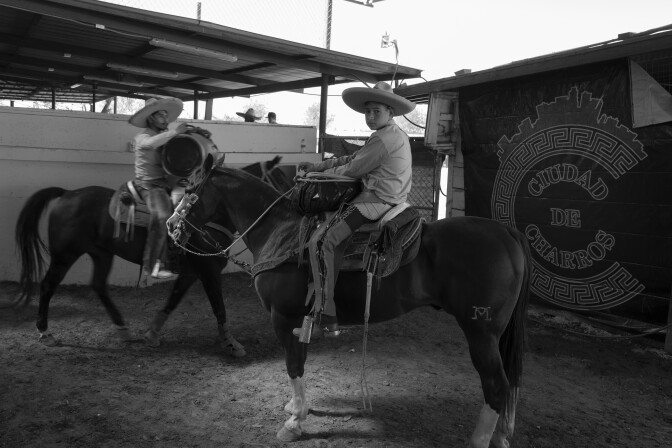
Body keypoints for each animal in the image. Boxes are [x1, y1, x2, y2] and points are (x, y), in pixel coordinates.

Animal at [13, 157, 292, 356]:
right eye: (279, 181)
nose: (292, 208)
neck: (208, 219)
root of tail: (66, 193)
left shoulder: (191, 273)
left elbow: (172, 301)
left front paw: (152, 334)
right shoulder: (208, 272)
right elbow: (219, 307)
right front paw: (231, 343)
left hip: (101, 253)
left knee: (99, 286)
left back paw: (124, 329)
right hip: (65, 255)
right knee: (48, 286)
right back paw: (45, 332)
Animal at [168, 163, 532, 446]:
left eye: (192, 191)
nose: (171, 226)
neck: (279, 232)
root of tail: (506, 234)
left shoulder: (284, 318)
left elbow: (293, 365)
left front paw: (294, 423)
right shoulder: (300, 321)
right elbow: (299, 364)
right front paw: (295, 408)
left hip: (480, 331)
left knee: (497, 385)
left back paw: (480, 440)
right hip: (495, 334)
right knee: (509, 382)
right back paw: (501, 435)